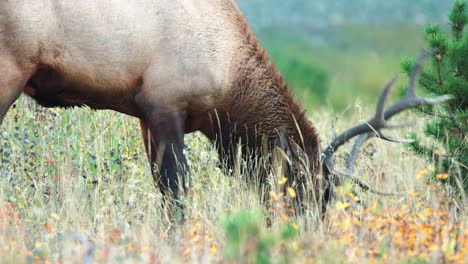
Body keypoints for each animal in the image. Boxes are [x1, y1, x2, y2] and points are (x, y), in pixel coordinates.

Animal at [0, 1, 454, 213]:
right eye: (306, 191)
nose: (311, 235)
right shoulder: (164, 104)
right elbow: (177, 193)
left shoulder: (145, 114)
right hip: (9, 70)